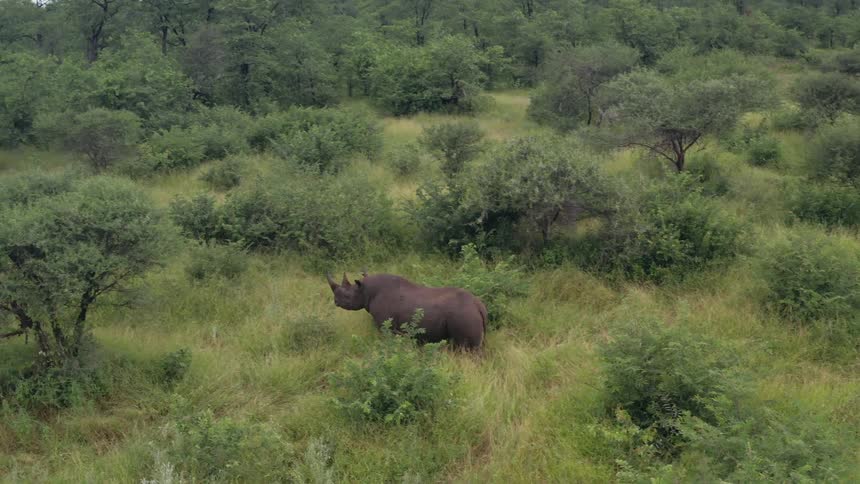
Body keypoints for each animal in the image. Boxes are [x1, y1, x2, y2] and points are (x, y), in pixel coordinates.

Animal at [326, 272, 486, 349]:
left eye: (347, 296)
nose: (335, 301)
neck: (365, 290)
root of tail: (478, 305)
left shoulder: (387, 326)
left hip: (463, 314)